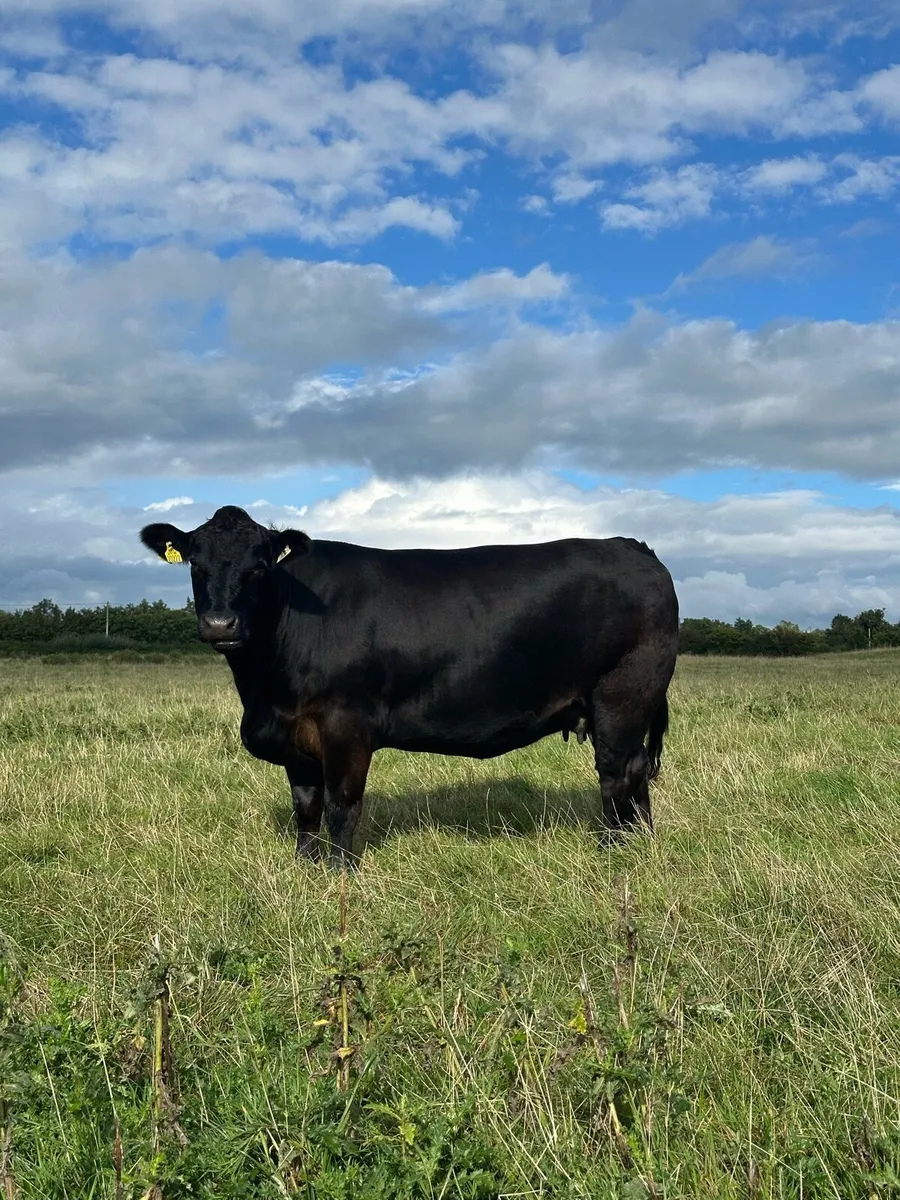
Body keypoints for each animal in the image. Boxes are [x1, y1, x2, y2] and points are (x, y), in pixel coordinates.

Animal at [140, 505, 679, 868]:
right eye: (196, 565)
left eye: (258, 567)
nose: (219, 623)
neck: (263, 691)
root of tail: (632, 546)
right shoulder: (295, 735)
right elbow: (305, 807)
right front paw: (304, 868)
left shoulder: (345, 724)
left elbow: (341, 805)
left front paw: (339, 874)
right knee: (637, 776)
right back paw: (642, 846)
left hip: (623, 695)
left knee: (616, 775)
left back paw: (613, 852)